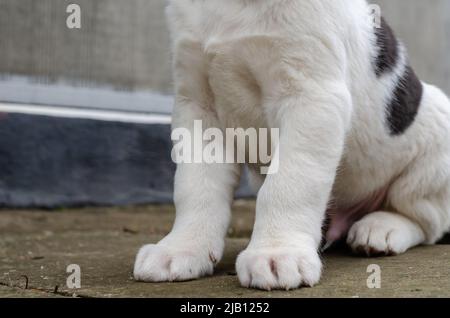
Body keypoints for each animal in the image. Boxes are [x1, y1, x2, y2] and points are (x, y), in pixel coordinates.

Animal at [134, 0, 450, 290]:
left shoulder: (311, 98)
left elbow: (288, 185)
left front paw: (276, 252)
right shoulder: (197, 104)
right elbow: (196, 187)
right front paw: (181, 248)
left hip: (432, 155)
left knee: (425, 221)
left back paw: (382, 227)